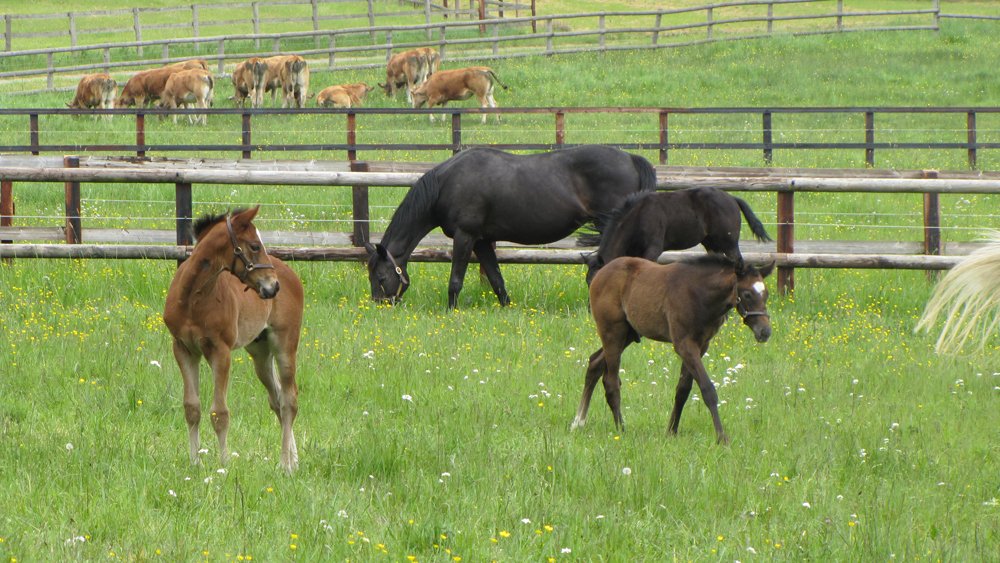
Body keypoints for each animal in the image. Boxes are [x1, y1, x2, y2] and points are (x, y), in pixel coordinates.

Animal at [163, 207, 304, 473]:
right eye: (255, 245)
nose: (273, 286)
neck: (192, 298)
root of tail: (290, 274)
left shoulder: (221, 351)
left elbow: (220, 413)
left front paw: (224, 464)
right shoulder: (183, 349)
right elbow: (192, 408)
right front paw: (195, 462)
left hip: (285, 344)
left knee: (290, 400)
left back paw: (285, 465)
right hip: (260, 353)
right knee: (278, 399)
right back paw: (294, 460)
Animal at [364, 145, 658, 309]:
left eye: (380, 277)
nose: (381, 306)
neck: (447, 183)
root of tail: (630, 158)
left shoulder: (465, 236)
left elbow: (456, 280)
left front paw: (450, 312)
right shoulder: (482, 241)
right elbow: (496, 279)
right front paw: (507, 309)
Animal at [571, 255, 774, 444]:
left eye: (766, 295)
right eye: (747, 294)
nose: (765, 332)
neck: (700, 294)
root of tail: (600, 274)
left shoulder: (701, 345)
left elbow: (682, 390)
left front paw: (671, 431)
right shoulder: (684, 344)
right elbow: (707, 389)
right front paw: (721, 438)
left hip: (628, 334)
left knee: (594, 363)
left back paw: (578, 421)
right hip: (613, 332)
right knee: (611, 381)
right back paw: (621, 429)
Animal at [582, 187, 772, 284]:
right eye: (588, 281)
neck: (638, 216)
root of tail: (732, 198)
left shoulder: (653, 249)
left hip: (729, 243)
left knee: (739, 262)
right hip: (711, 244)